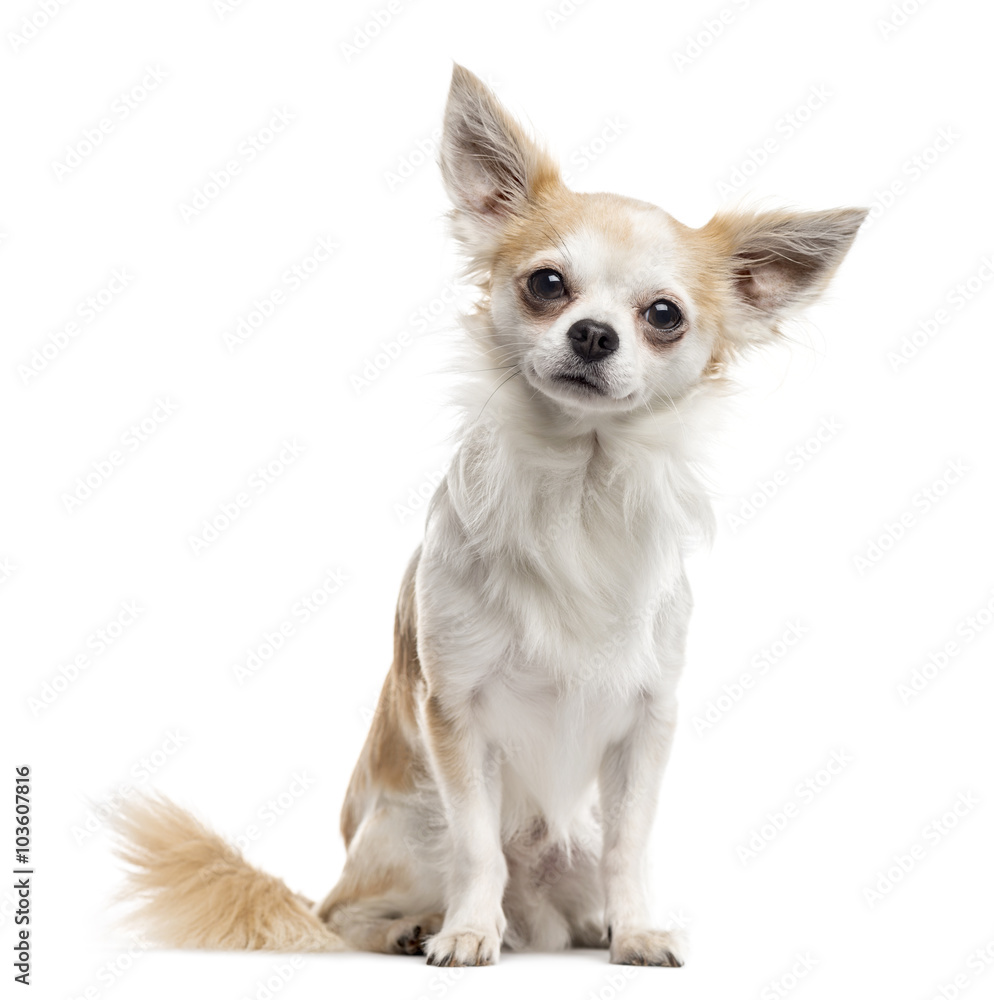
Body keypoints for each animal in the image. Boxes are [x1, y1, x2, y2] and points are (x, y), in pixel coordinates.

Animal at [112, 64, 864, 968]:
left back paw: (591, 923)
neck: (578, 484)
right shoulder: (456, 715)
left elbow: (632, 843)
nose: (593, 334)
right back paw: (412, 928)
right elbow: (476, 845)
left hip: (569, 839)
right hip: (408, 830)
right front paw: (468, 932)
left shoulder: (647, 723)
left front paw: (637, 930)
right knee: (337, 912)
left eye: (663, 316)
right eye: (547, 285)